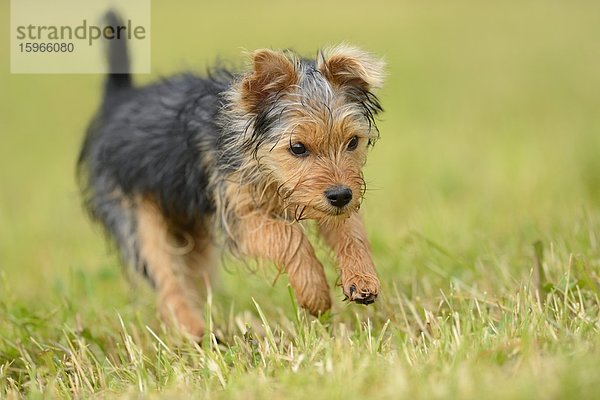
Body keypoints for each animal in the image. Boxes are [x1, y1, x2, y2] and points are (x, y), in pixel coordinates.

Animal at [78, 11, 384, 338]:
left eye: (352, 142)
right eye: (298, 148)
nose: (341, 196)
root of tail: (118, 101)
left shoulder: (327, 198)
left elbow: (351, 232)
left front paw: (362, 278)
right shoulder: (241, 215)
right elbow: (289, 235)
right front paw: (314, 292)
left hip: (191, 229)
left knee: (190, 276)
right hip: (138, 219)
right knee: (168, 279)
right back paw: (192, 329)